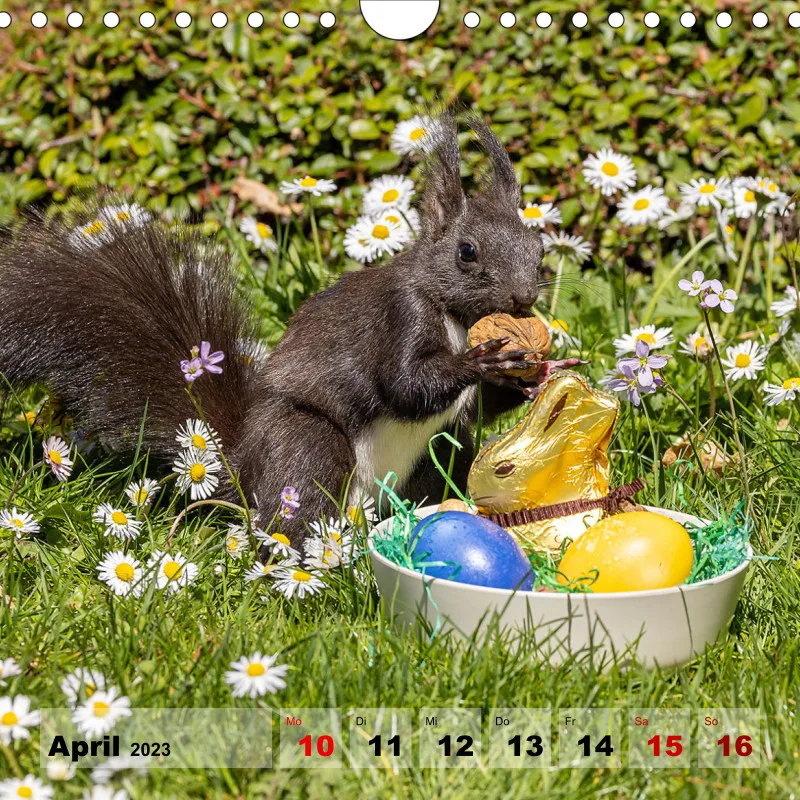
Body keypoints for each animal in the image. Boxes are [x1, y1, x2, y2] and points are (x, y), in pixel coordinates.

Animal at [0, 112, 579, 546]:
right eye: (467, 253)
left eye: (538, 250)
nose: (524, 299)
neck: (457, 319)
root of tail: (240, 469)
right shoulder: (400, 316)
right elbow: (404, 385)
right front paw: (483, 360)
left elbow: (481, 408)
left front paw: (534, 372)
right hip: (305, 443)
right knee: (298, 501)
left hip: (443, 454)